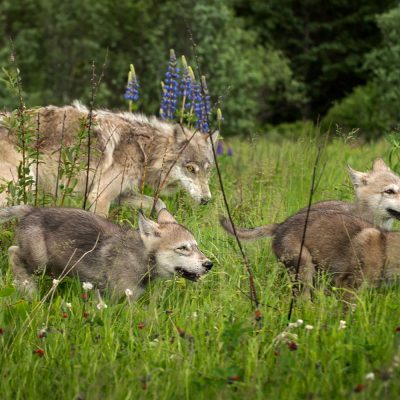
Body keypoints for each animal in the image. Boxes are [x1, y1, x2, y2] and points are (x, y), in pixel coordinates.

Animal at [0, 102, 219, 216]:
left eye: (208, 170)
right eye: (190, 169)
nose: (206, 200)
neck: (144, 150)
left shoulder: (122, 194)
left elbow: (160, 204)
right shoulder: (100, 196)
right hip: (21, 185)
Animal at [1, 206, 214, 300]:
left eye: (196, 246)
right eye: (182, 248)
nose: (209, 264)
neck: (138, 256)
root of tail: (32, 210)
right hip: (39, 262)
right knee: (13, 252)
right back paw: (28, 288)